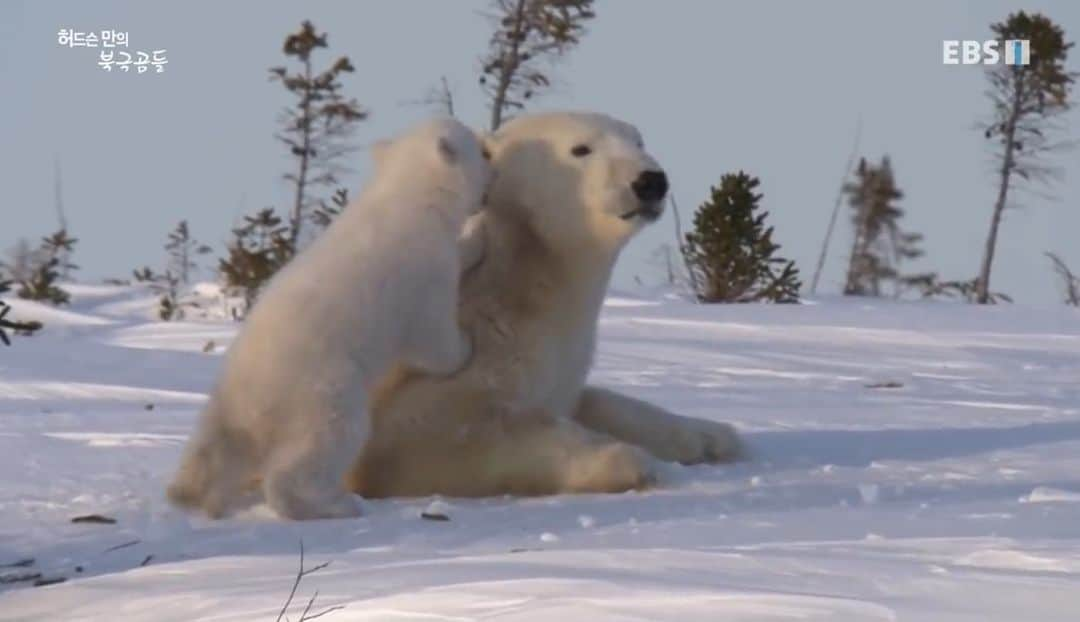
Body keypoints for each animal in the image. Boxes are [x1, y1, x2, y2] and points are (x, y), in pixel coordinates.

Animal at [349, 111, 738, 498]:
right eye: (580, 148)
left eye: (638, 141)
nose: (650, 181)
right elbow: (433, 435)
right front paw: (625, 459)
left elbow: (587, 399)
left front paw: (712, 436)